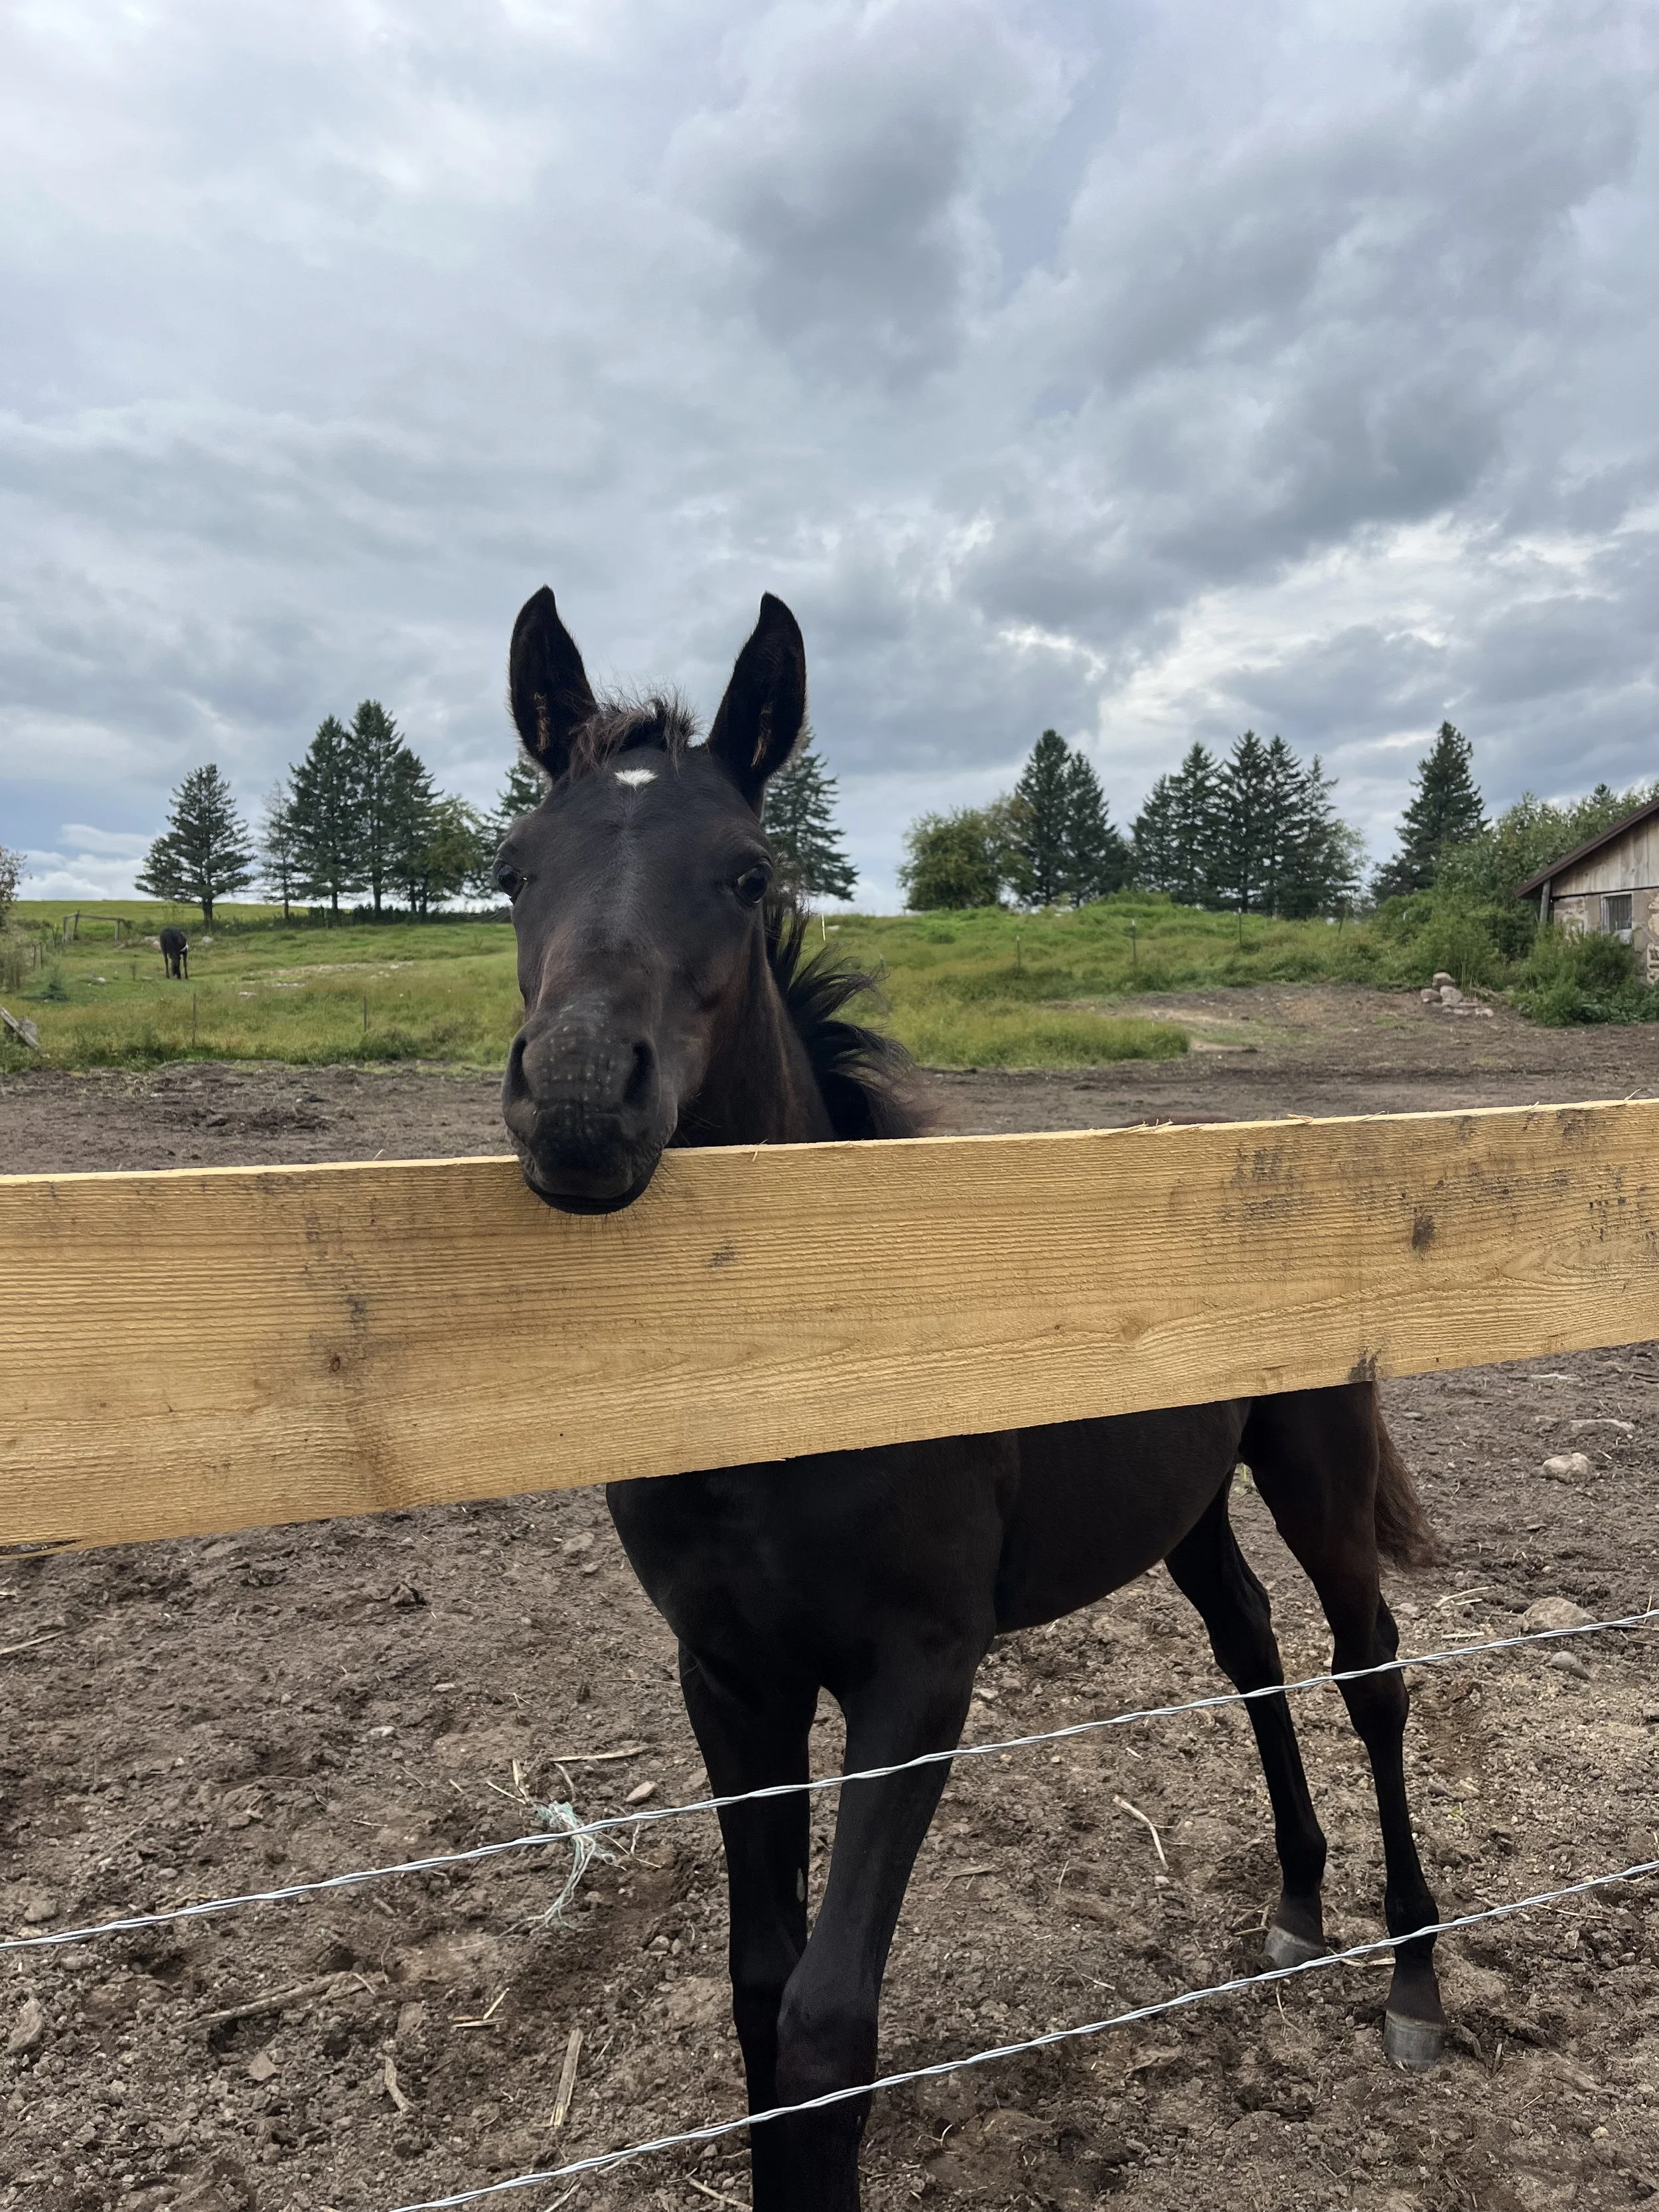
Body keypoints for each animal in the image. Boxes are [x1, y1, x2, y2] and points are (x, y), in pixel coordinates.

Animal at [494, 586, 1447, 2211]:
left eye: (747, 873)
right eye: (511, 869)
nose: (575, 1103)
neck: (789, 1395)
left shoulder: (919, 1676)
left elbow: (828, 2020)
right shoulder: (727, 1676)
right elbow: (757, 1989)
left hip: (1317, 1468)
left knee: (1365, 1669)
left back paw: (1413, 1980)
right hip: (1185, 1507)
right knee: (1252, 1651)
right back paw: (1296, 1904)